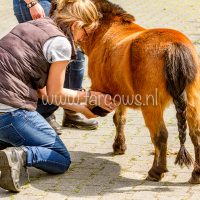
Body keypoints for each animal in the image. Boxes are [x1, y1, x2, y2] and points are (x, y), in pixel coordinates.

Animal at [49, 0, 200, 183]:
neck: (104, 30)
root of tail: (174, 46)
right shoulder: (120, 93)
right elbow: (119, 119)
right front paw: (119, 146)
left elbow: (119, 119)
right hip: (192, 101)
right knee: (195, 134)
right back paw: (196, 173)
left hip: (151, 106)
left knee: (160, 136)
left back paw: (156, 171)